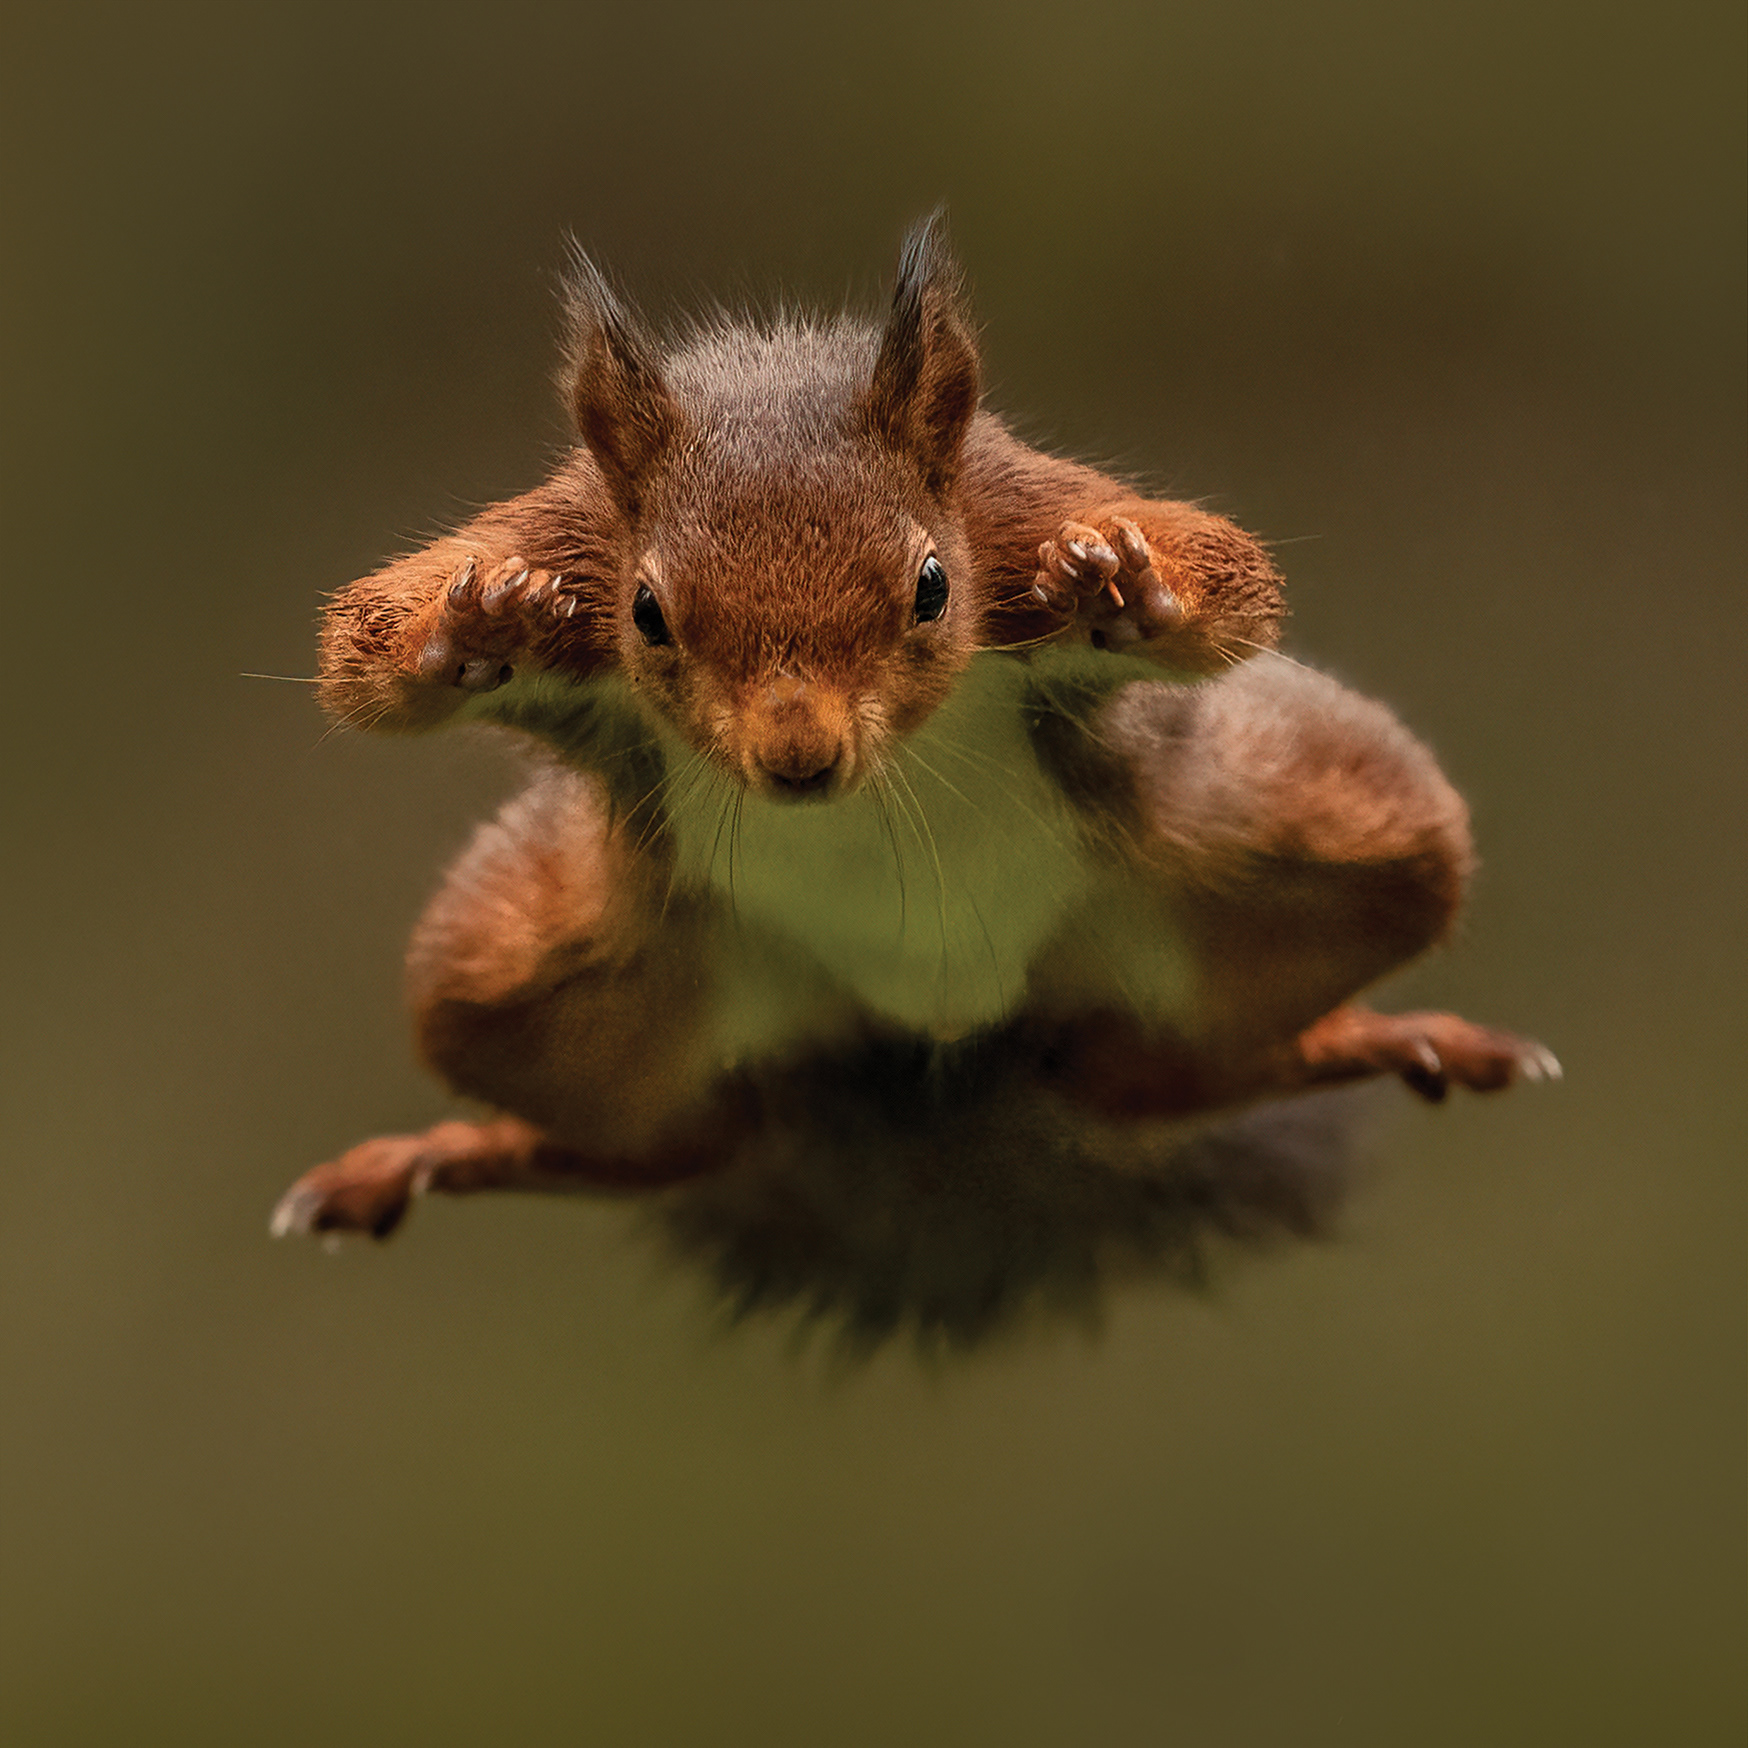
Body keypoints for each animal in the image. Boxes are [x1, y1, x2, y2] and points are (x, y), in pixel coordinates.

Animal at [271, 215, 1557, 1252]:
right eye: (645, 614)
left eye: (932, 587)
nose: (799, 759)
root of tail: (935, 1032)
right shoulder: (569, 529)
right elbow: (357, 657)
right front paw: (472, 622)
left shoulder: (1013, 510)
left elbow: (1233, 584)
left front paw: (1130, 591)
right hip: (536, 984)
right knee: (677, 1142)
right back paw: (438, 1155)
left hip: (1316, 840)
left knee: (1162, 1075)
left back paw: (1384, 1036)